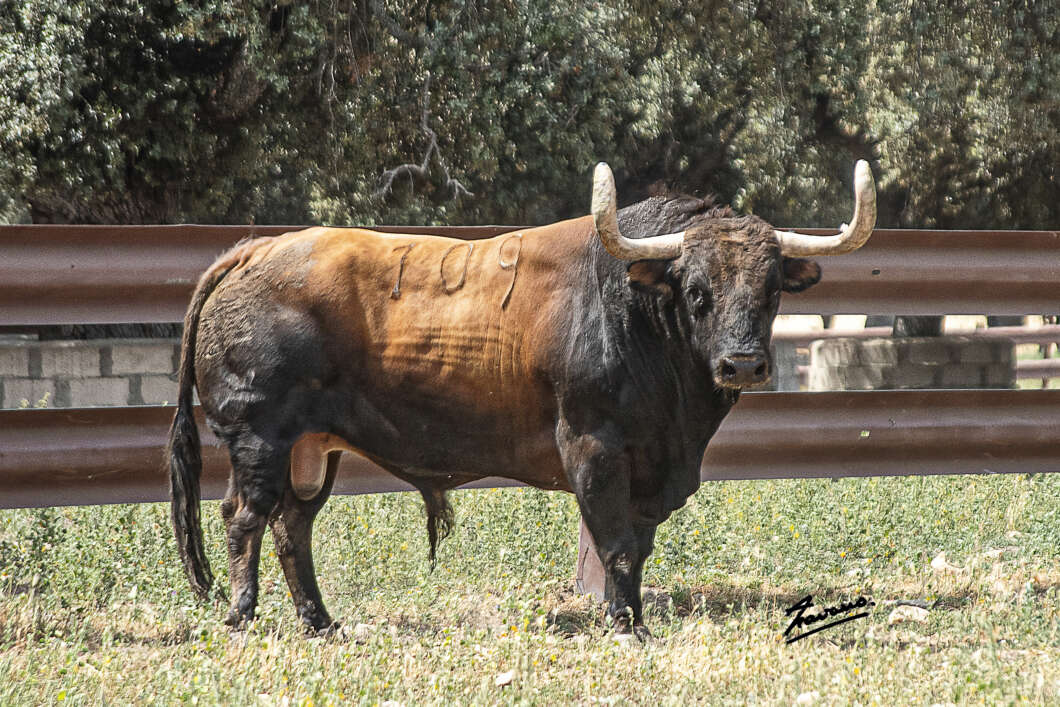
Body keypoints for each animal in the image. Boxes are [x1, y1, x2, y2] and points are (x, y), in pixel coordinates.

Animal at [168, 161, 875, 639]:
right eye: (696, 289)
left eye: (772, 289)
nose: (743, 363)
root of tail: (255, 251)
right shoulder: (594, 446)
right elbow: (615, 543)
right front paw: (628, 627)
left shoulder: (651, 463)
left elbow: (637, 545)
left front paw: (632, 617)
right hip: (259, 436)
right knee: (244, 517)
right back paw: (242, 618)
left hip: (313, 450)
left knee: (292, 526)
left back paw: (321, 622)